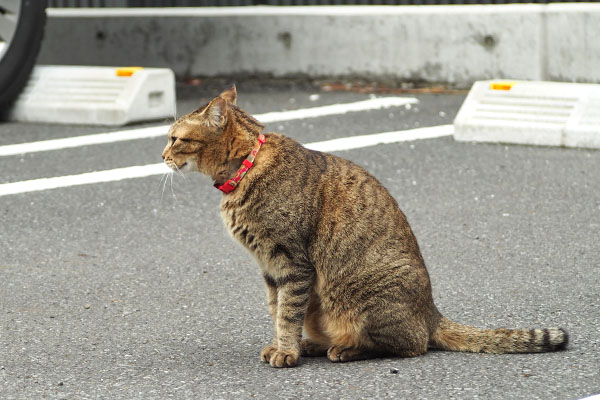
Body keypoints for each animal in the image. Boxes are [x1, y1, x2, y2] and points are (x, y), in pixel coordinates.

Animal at [161, 86, 568, 368]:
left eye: (176, 138)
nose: (162, 155)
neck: (245, 167)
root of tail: (431, 311)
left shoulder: (292, 263)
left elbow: (287, 313)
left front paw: (286, 352)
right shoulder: (269, 268)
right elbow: (277, 310)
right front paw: (281, 345)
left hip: (354, 300)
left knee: (410, 345)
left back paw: (342, 349)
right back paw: (315, 343)